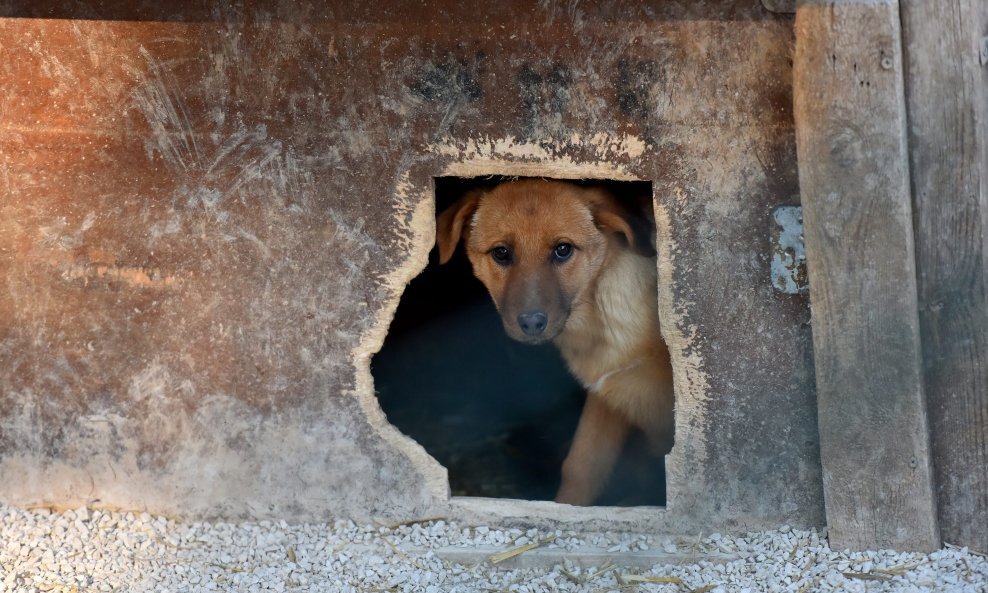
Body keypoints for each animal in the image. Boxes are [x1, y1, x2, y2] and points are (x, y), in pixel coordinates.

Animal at [436, 177, 676, 504]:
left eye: (563, 250)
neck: (599, 318)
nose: (532, 324)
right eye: (501, 253)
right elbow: (580, 467)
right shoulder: (605, 397)